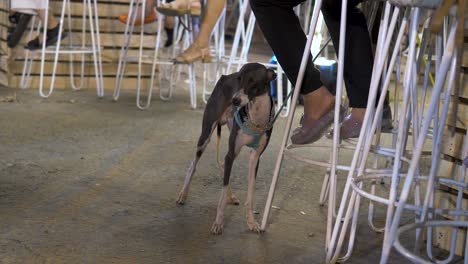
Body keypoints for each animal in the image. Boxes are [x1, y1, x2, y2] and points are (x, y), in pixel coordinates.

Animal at [176, 63, 278, 234]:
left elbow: (250, 193)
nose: (234, 100)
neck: (256, 117)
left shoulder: (255, 157)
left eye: (253, 81)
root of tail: (224, 77)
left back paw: (232, 196)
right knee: (193, 165)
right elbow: (222, 193)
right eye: (239, 78)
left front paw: (251, 222)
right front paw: (218, 222)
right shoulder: (231, 153)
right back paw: (183, 194)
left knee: (224, 168)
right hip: (205, 136)